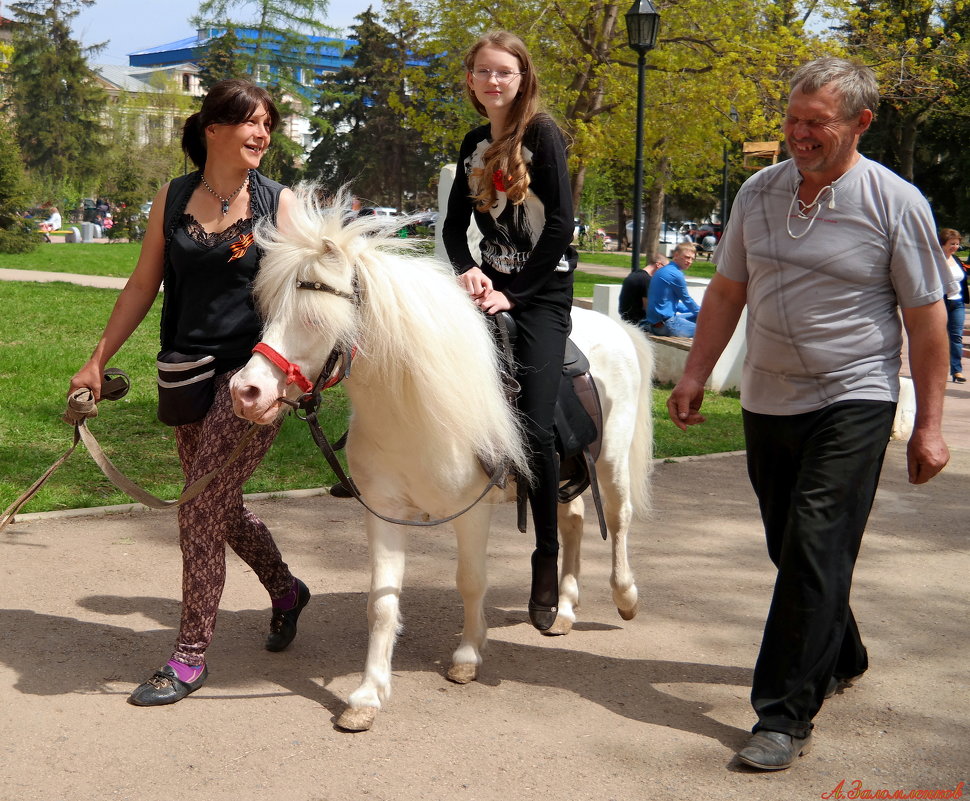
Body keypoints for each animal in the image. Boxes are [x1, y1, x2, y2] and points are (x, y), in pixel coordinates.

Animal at [229, 188, 652, 732]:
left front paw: (468, 657)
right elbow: (382, 601)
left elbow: (471, 582)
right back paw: (562, 610)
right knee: (574, 520)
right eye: (268, 310)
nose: (246, 392)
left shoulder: (471, 513)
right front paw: (367, 695)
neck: (412, 405)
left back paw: (622, 598)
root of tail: (615, 326)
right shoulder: (383, 512)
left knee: (617, 521)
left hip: (610, 462)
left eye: (314, 318)